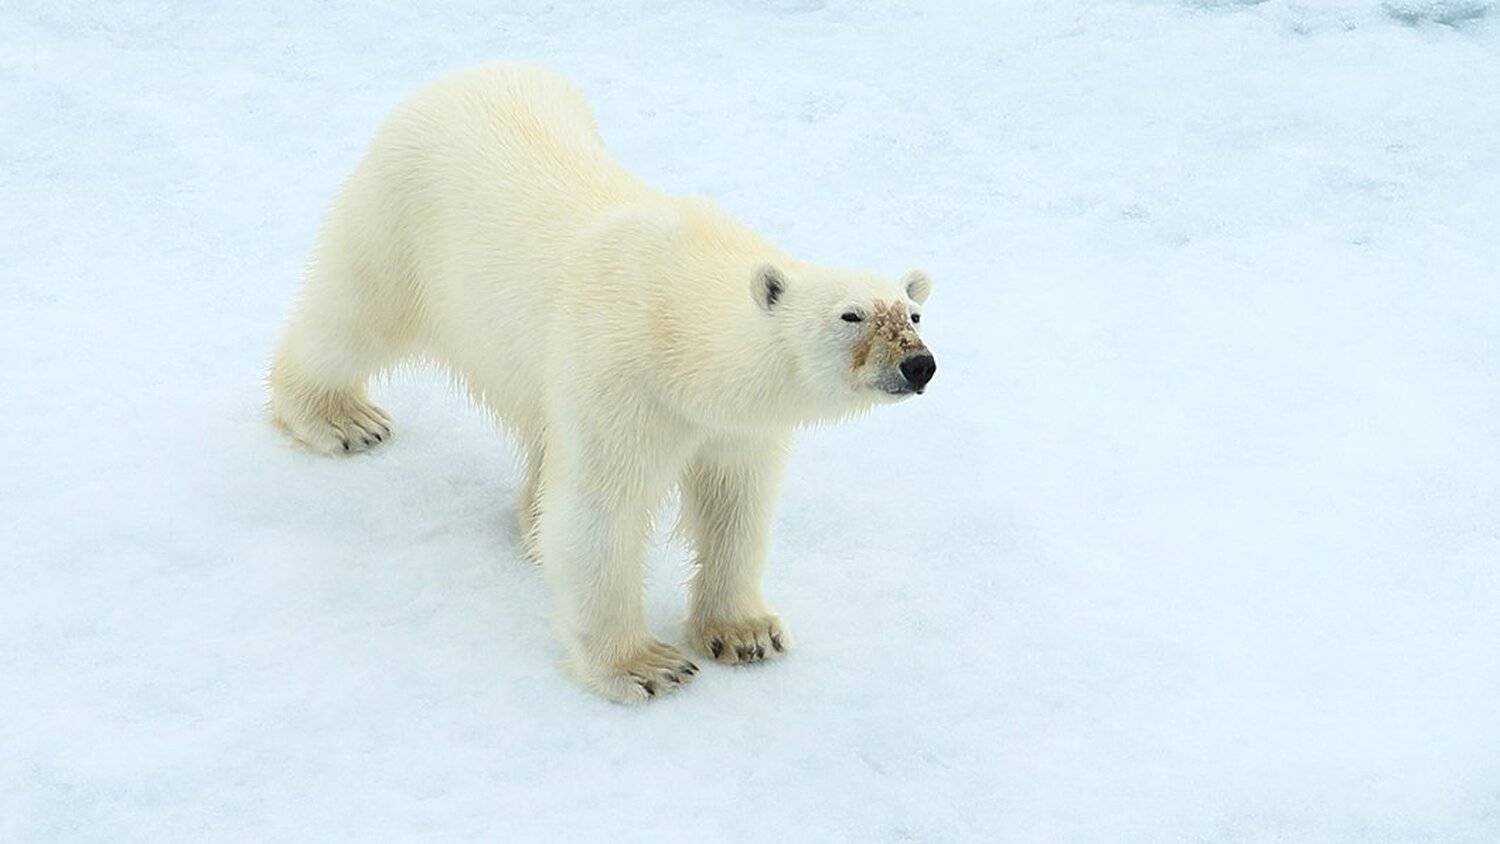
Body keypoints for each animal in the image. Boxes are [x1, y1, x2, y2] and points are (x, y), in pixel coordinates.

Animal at [268, 64, 936, 703]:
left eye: (913, 314)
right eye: (850, 315)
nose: (919, 365)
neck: (677, 327)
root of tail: (462, 76)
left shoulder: (732, 424)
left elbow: (736, 505)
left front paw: (746, 633)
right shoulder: (622, 377)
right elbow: (600, 512)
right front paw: (646, 666)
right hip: (402, 217)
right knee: (353, 316)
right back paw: (341, 418)